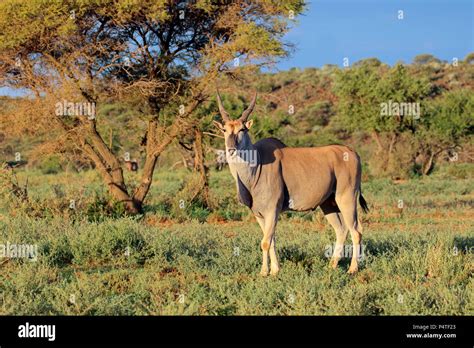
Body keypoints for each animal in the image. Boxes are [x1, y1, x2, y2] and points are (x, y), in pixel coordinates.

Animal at [213, 91, 368, 276]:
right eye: (224, 130)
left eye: (242, 129)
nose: (231, 149)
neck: (257, 164)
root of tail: (353, 153)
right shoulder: (259, 214)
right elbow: (270, 240)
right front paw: (274, 270)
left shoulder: (272, 210)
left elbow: (265, 242)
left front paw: (264, 272)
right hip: (328, 203)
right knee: (341, 229)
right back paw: (332, 265)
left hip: (347, 198)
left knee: (356, 231)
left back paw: (352, 268)